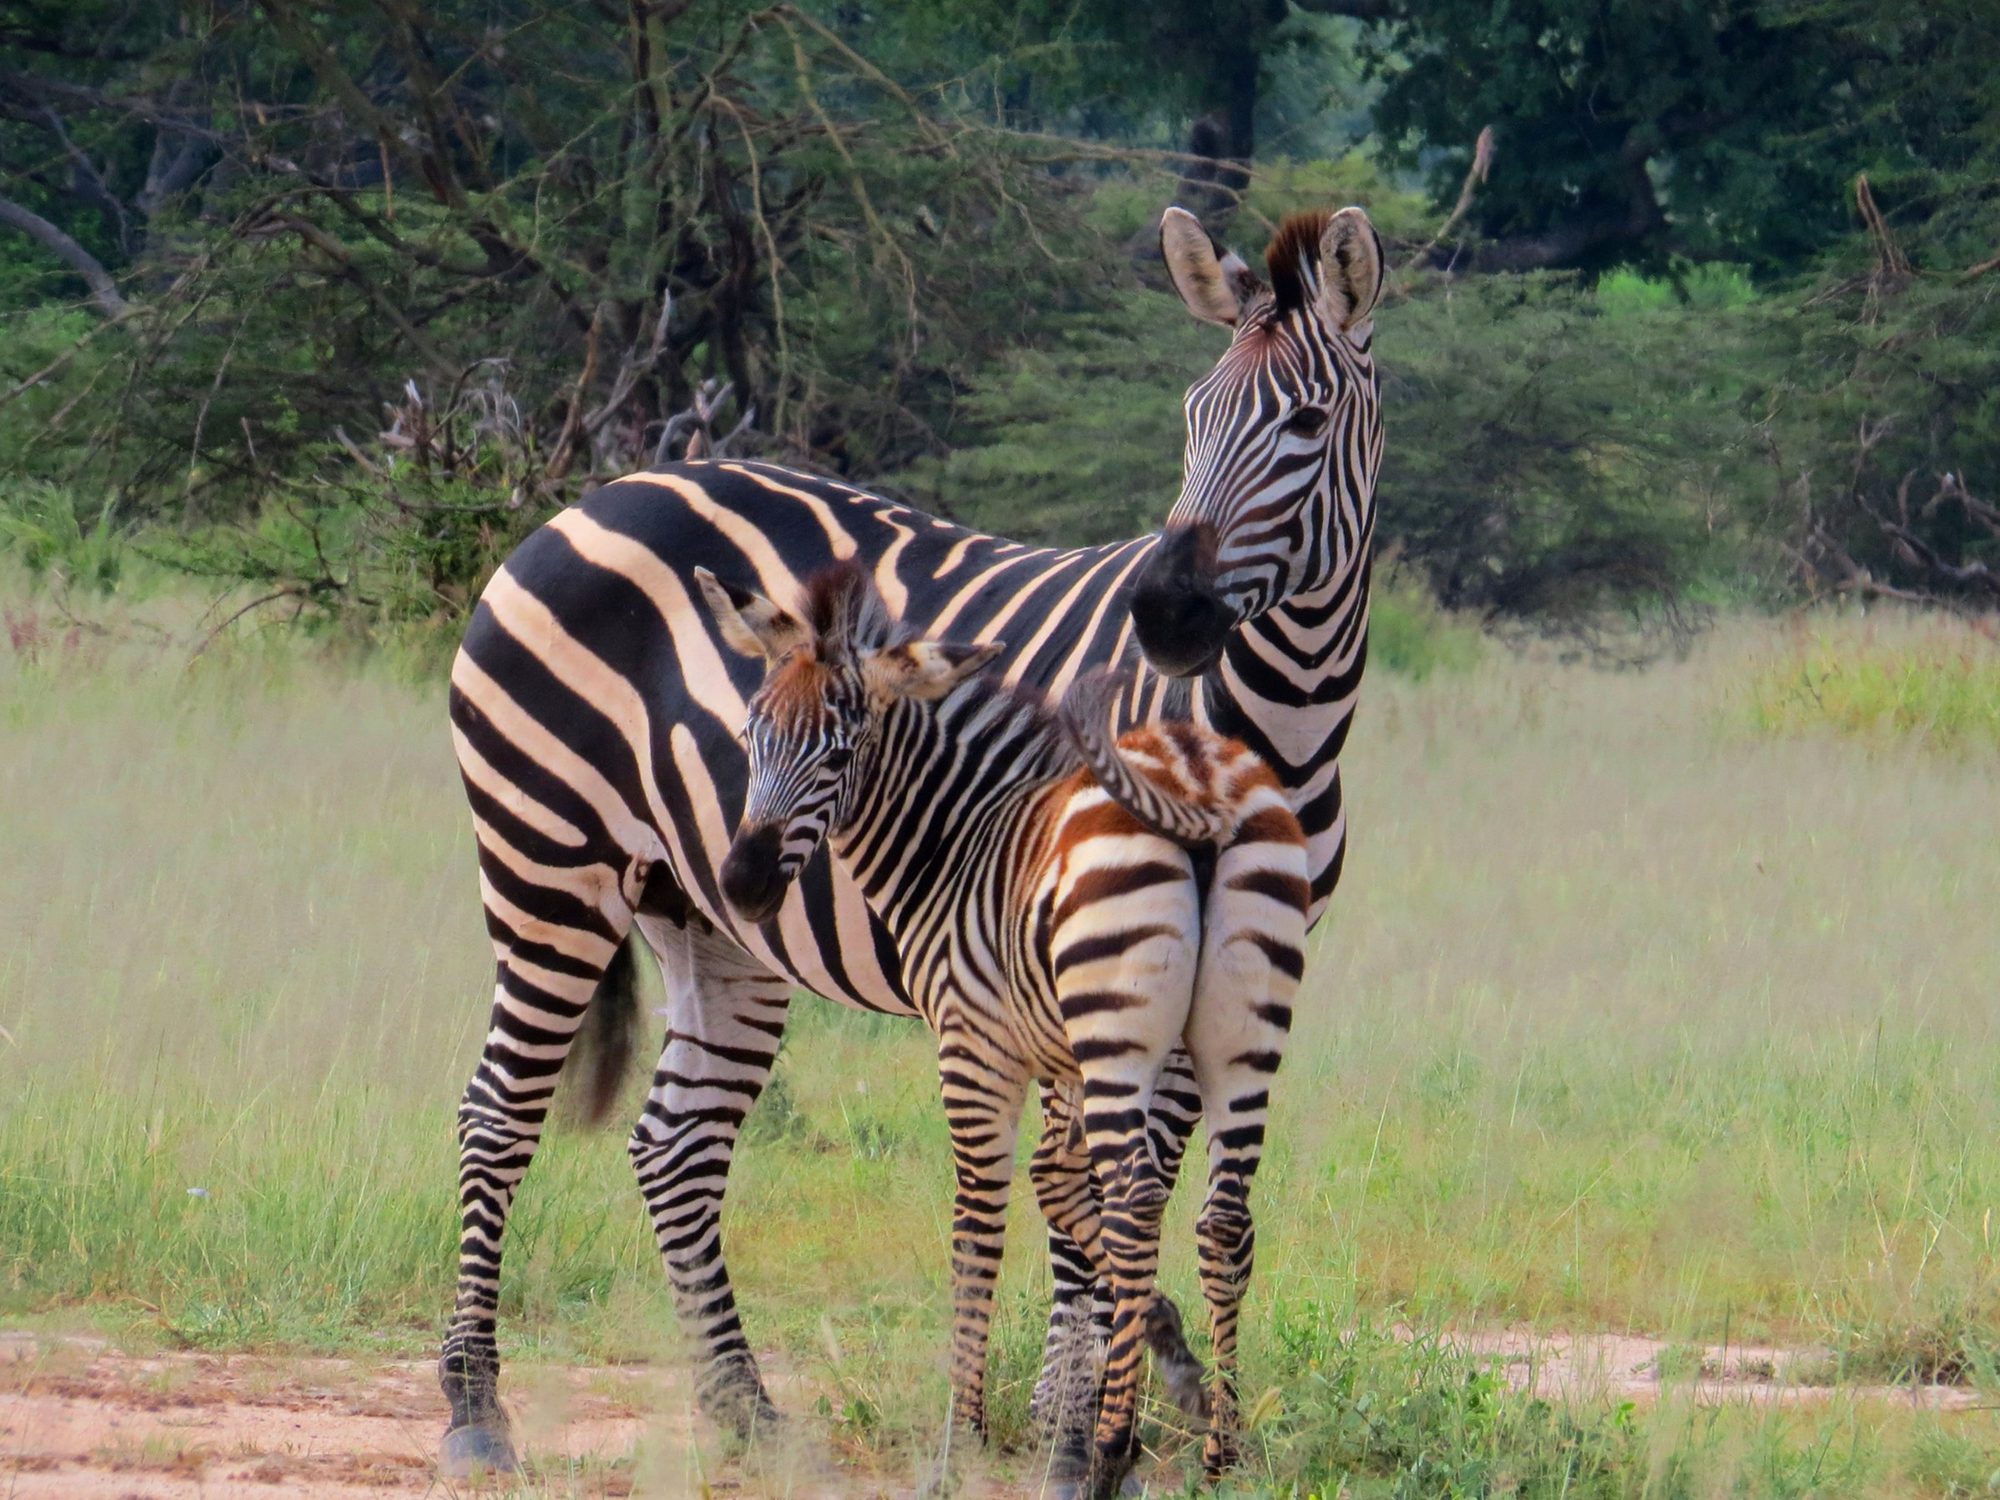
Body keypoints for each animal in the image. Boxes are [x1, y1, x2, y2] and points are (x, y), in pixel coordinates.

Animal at [697, 560, 1309, 1496]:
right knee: (1223, 1218)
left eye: (838, 752)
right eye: (750, 735)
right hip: (1240, 1037)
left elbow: (980, 1222)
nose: (743, 885)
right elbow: (1059, 1187)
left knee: (1136, 1203)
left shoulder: (975, 1045)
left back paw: (1110, 1452)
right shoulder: (1064, 1057)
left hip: (1122, 1033)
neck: (959, 841)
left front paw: (966, 1431)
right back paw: (1221, 1448)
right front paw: (1169, 1351)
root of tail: (1198, 782)